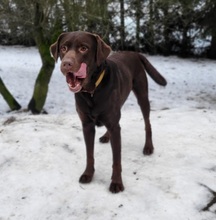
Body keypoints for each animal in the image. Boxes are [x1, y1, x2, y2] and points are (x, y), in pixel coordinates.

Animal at [49, 31, 167, 192]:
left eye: (84, 48)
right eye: (64, 48)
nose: (66, 64)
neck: (92, 91)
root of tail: (134, 53)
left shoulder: (114, 126)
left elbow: (116, 159)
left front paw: (117, 183)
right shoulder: (87, 125)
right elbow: (89, 154)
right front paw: (88, 174)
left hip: (142, 95)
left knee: (147, 123)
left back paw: (148, 146)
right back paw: (106, 136)